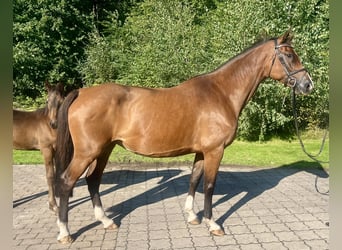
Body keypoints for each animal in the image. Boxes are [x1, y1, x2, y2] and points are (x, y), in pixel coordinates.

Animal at [13, 82, 65, 213]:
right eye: (47, 101)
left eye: (61, 101)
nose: (53, 123)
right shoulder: (47, 150)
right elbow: (50, 176)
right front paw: (54, 205)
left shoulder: (55, 151)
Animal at [54, 30, 314, 243]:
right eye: (289, 55)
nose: (308, 85)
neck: (221, 93)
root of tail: (80, 93)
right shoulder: (215, 150)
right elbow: (209, 185)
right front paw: (212, 224)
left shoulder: (201, 151)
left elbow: (194, 180)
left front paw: (192, 216)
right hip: (88, 152)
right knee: (67, 181)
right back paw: (65, 232)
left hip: (104, 150)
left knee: (93, 180)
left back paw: (106, 221)